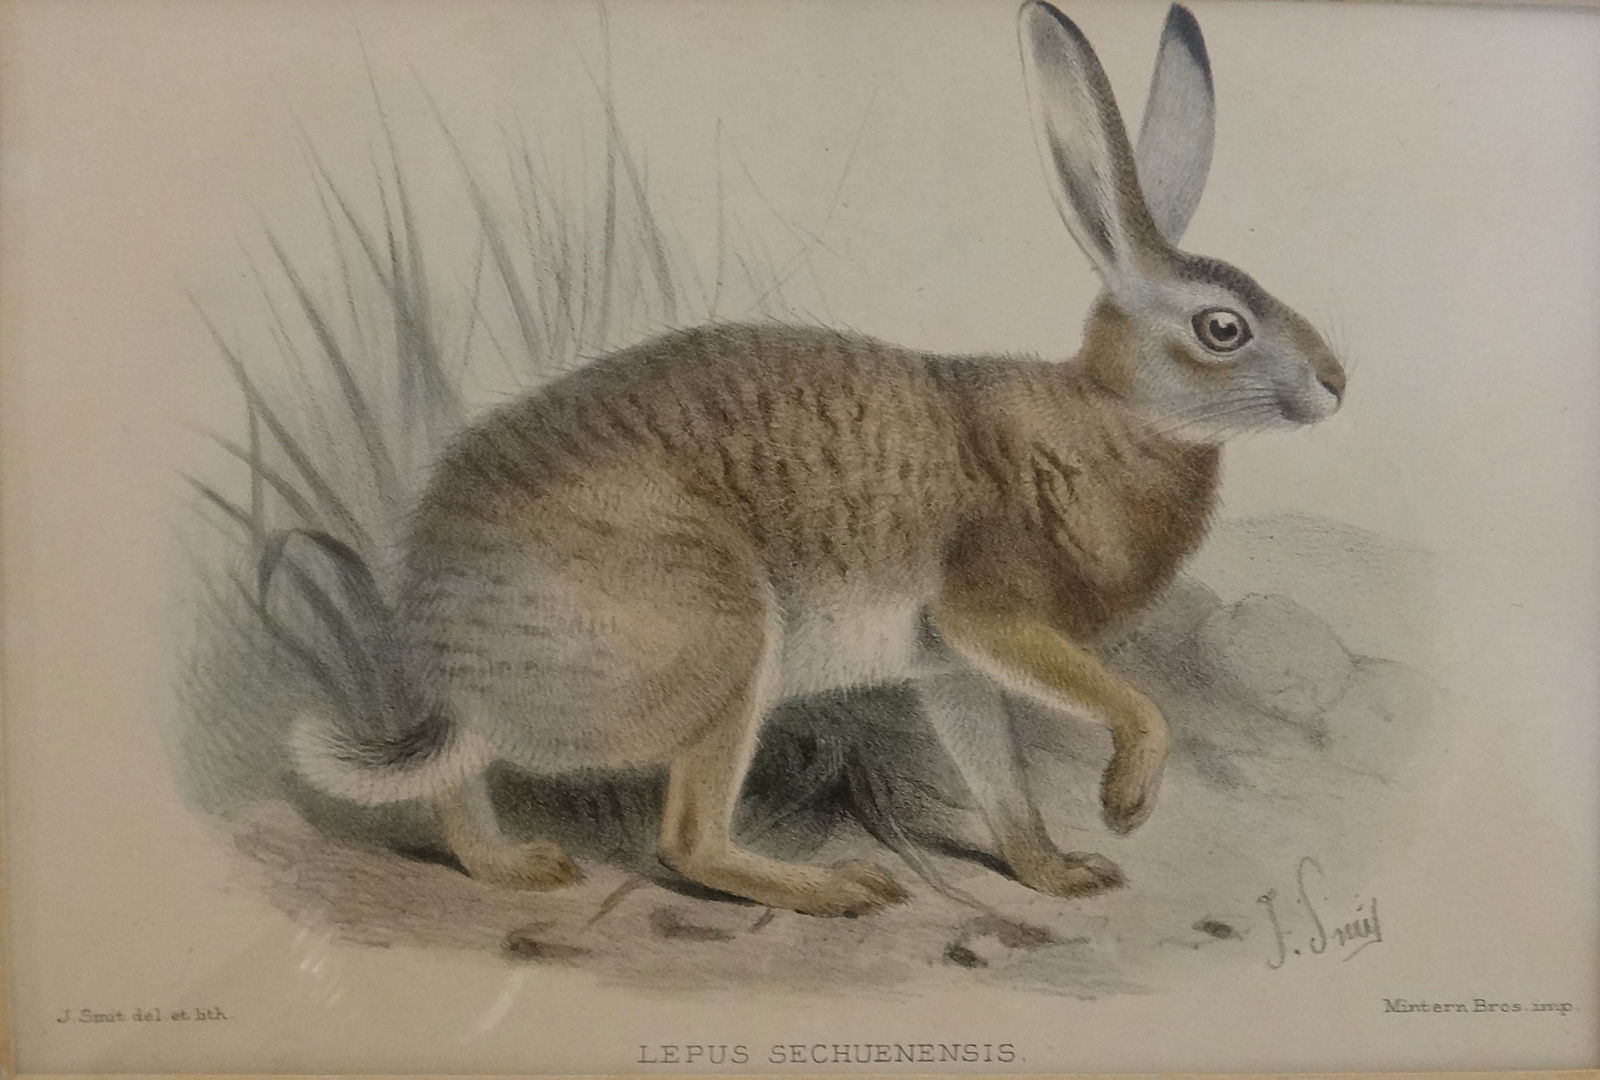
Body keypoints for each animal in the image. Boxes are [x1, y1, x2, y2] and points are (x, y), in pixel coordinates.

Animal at [292, 0, 1346, 917]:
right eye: (1222, 329)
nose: (1337, 384)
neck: (1113, 414)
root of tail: (446, 656)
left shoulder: (950, 662)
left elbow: (996, 773)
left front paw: (1059, 871)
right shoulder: (991, 614)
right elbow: (1132, 704)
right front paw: (1125, 804)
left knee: (461, 785)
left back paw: (516, 866)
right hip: (721, 641)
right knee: (686, 840)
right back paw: (838, 890)